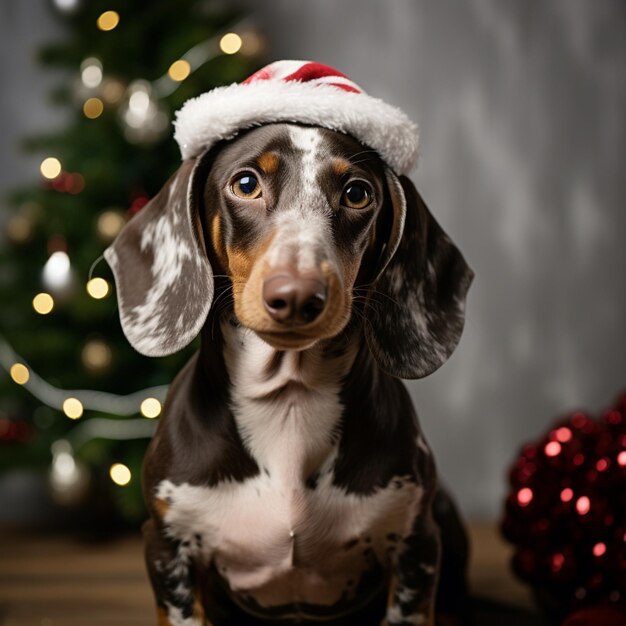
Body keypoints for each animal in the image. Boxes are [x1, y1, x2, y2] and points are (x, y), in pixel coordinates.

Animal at [105, 119, 470, 620]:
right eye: (245, 184)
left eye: (357, 193)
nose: (297, 296)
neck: (289, 403)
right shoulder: (166, 548)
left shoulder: (416, 547)